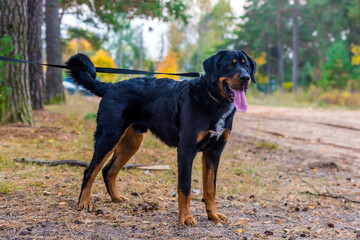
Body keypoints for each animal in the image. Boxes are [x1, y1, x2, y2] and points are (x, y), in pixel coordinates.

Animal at [65, 49, 256, 226]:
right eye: (230, 65)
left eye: (246, 65)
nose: (246, 78)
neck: (213, 101)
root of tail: (111, 86)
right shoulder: (186, 151)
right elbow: (185, 188)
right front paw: (185, 217)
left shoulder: (214, 152)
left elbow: (210, 189)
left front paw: (213, 215)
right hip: (109, 136)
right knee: (90, 171)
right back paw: (84, 203)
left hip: (131, 142)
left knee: (108, 170)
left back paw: (116, 197)